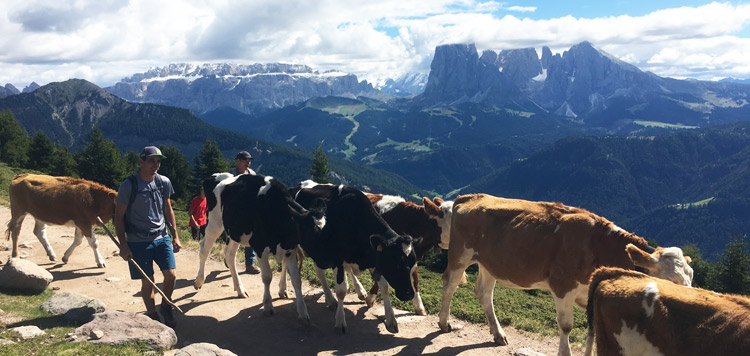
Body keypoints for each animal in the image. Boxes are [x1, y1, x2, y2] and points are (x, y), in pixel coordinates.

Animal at [192, 172, 324, 322]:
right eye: (312, 233)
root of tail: (217, 176)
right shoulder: (259, 245)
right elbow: (267, 277)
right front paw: (268, 306)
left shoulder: (290, 249)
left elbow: (297, 280)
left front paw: (302, 313)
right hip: (215, 223)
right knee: (204, 249)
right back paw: (199, 281)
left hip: (235, 231)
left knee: (230, 256)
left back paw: (240, 290)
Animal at [290, 181, 424, 334]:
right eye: (395, 262)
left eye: (412, 264)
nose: (409, 294)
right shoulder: (337, 258)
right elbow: (341, 290)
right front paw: (340, 322)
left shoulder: (373, 259)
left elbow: (384, 287)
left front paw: (391, 321)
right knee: (318, 274)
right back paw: (328, 300)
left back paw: (357, 291)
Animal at [438, 193, 696, 356]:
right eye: (672, 281)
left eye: (691, 280)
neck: (597, 244)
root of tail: (469, 196)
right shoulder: (562, 285)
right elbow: (566, 326)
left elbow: (592, 332)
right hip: (460, 254)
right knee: (449, 285)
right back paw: (444, 322)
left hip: (490, 263)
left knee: (484, 293)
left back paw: (498, 333)